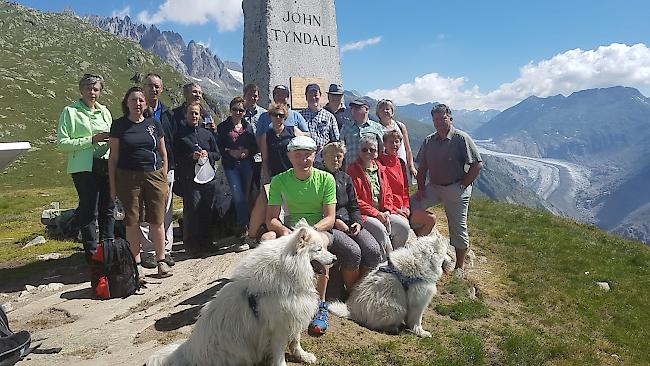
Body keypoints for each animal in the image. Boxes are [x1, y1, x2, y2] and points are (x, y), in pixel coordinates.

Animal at [144, 220, 332, 366]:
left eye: (323, 247)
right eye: (318, 249)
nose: (335, 259)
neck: (289, 271)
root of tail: (189, 351)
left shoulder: (293, 315)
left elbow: (295, 341)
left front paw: (303, 356)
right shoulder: (278, 327)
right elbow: (279, 353)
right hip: (236, 349)